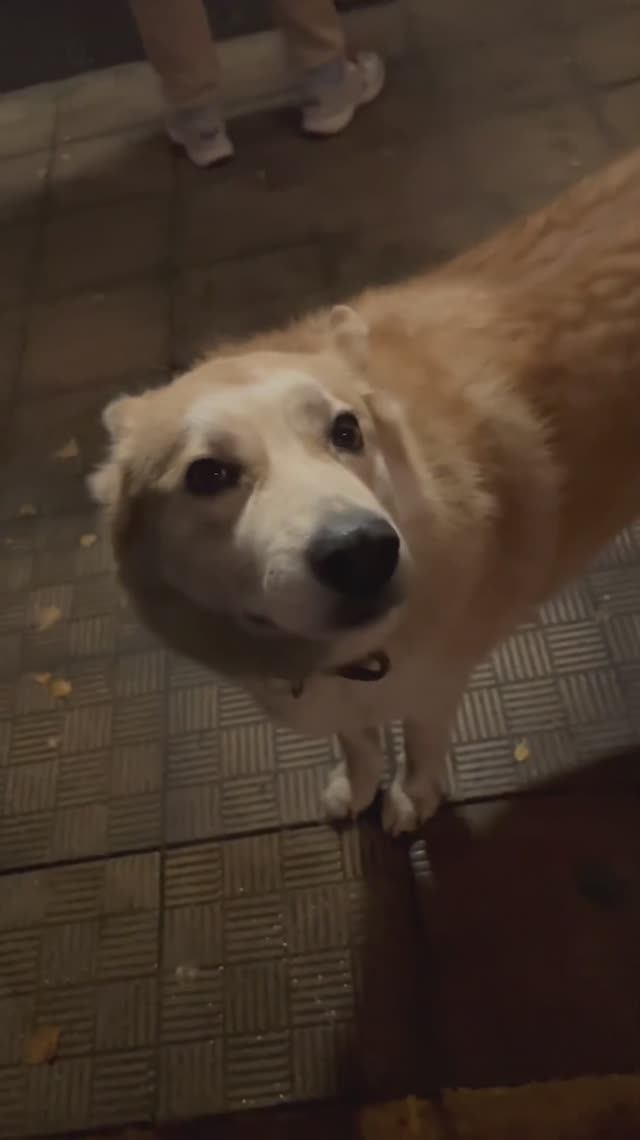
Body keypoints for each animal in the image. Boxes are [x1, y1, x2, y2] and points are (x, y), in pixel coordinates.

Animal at [91, 147, 640, 834]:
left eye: (346, 430)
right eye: (208, 474)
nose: (362, 553)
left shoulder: (437, 686)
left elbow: (422, 744)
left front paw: (413, 797)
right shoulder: (344, 702)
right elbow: (357, 743)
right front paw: (357, 785)